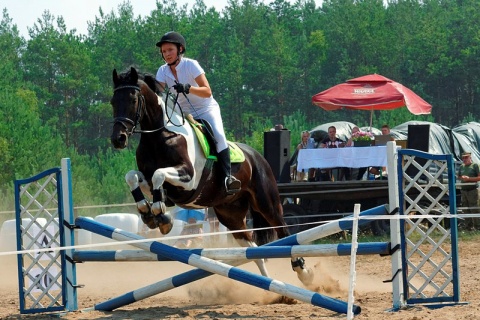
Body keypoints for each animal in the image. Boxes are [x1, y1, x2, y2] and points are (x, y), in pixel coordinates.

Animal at [109, 66, 314, 284]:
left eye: (132, 100)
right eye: (113, 101)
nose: (118, 139)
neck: (160, 136)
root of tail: (258, 156)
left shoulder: (188, 178)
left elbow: (158, 175)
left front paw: (161, 216)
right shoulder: (148, 179)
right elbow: (132, 176)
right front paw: (147, 212)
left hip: (267, 203)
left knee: (283, 230)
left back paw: (303, 272)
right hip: (230, 215)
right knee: (253, 249)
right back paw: (269, 285)